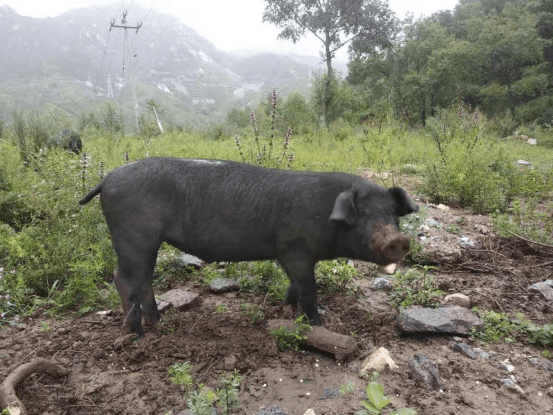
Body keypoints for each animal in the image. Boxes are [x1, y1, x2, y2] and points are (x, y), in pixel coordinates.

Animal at [78, 158, 418, 340]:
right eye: (361, 214)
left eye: (391, 213)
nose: (397, 240)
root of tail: (107, 179)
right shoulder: (293, 249)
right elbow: (308, 289)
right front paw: (318, 324)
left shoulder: (294, 255)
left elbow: (296, 287)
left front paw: (287, 309)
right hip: (135, 236)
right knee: (124, 280)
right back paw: (136, 333)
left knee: (143, 282)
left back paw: (158, 324)